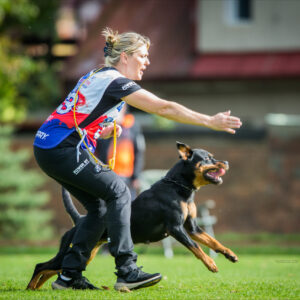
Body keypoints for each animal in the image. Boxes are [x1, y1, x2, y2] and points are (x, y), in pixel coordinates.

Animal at [27, 143, 239, 290]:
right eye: (208, 158)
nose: (227, 162)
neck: (180, 188)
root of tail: (79, 220)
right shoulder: (175, 228)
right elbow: (196, 246)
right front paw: (211, 264)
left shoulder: (192, 227)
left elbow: (212, 241)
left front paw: (230, 254)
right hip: (70, 250)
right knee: (40, 266)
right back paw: (30, 288)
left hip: (86, 254)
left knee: (51, 270)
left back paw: (40, 288)